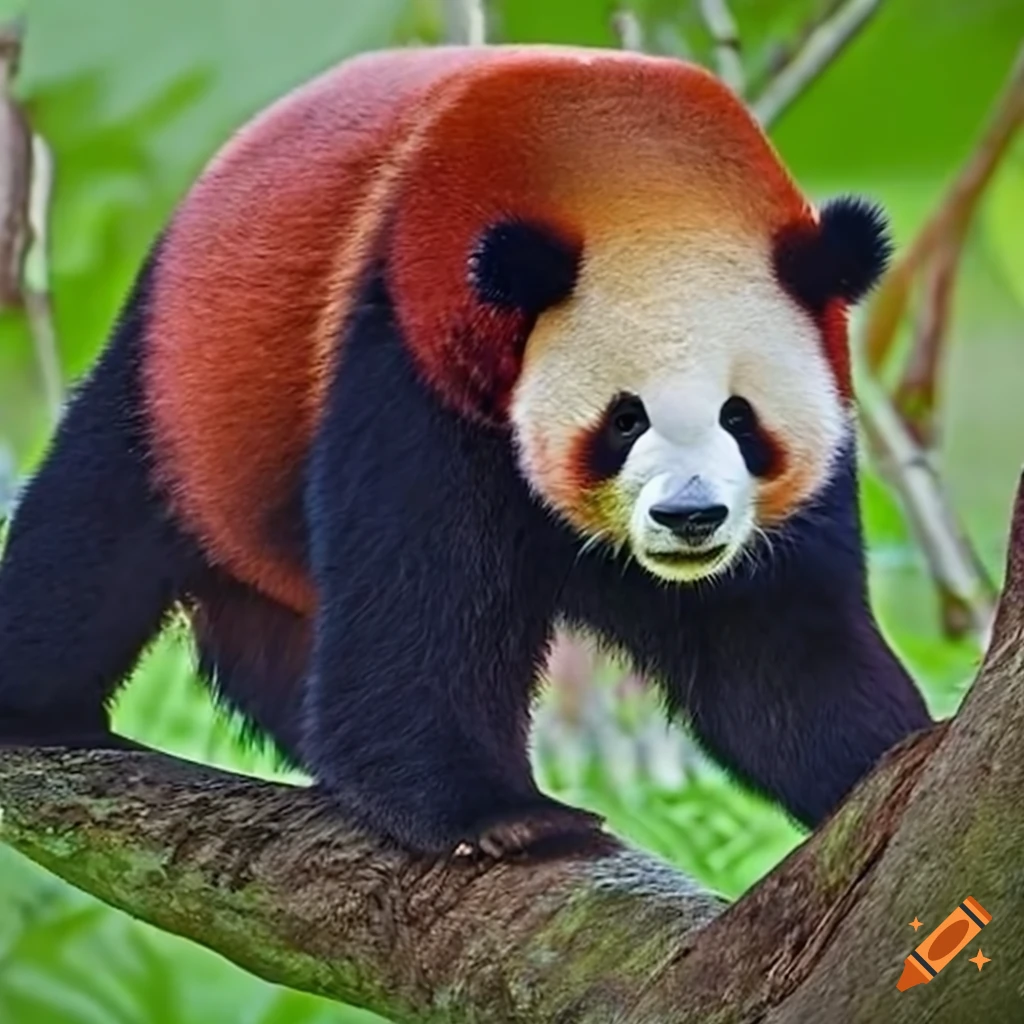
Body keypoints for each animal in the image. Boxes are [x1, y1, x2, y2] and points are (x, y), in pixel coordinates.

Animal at [0, 44, 933, 851]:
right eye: (623, 419)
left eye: (740, 417)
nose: (690, 518)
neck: (642, 181)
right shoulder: (419, 330)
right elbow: (420, 588)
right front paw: (500, 817)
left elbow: (766, 637)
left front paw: (883, 756)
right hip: (189, 379)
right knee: (92, 529)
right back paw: (40, 706)